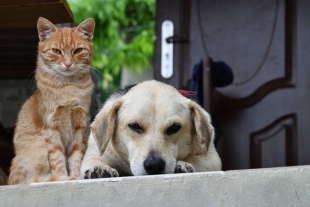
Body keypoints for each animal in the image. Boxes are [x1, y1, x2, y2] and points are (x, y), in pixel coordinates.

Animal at [8, 17, 95, 184]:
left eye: (77, 51)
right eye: (56, 51)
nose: (68, 64)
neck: (68, 86)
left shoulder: (80, 125)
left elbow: (76, 155)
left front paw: (75, 177)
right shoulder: (51, 127)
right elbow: (57, 157)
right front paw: (62, 178)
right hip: (39, 147)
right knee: (33, 179)